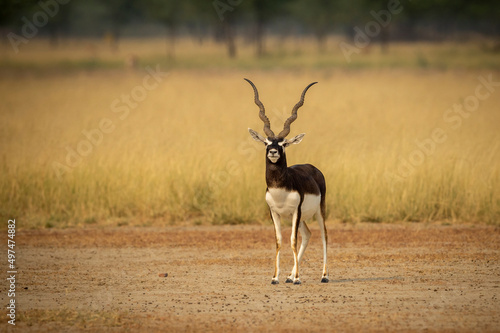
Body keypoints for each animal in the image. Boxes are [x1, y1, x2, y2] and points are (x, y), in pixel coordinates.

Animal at [245, 79, 328, 284]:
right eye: (266, 142)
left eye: (283, 144)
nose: (273, 152)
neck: (279, 191)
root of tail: (313, 168)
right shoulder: (275, 212)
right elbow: (279, 241)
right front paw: (275, 277)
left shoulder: (296, 211)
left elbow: (292, 241)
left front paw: (298, 278)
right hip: (299, 217)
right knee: (308, 234)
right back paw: (290, 276)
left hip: (318, 211)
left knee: (324, 235)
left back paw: (324, 276)